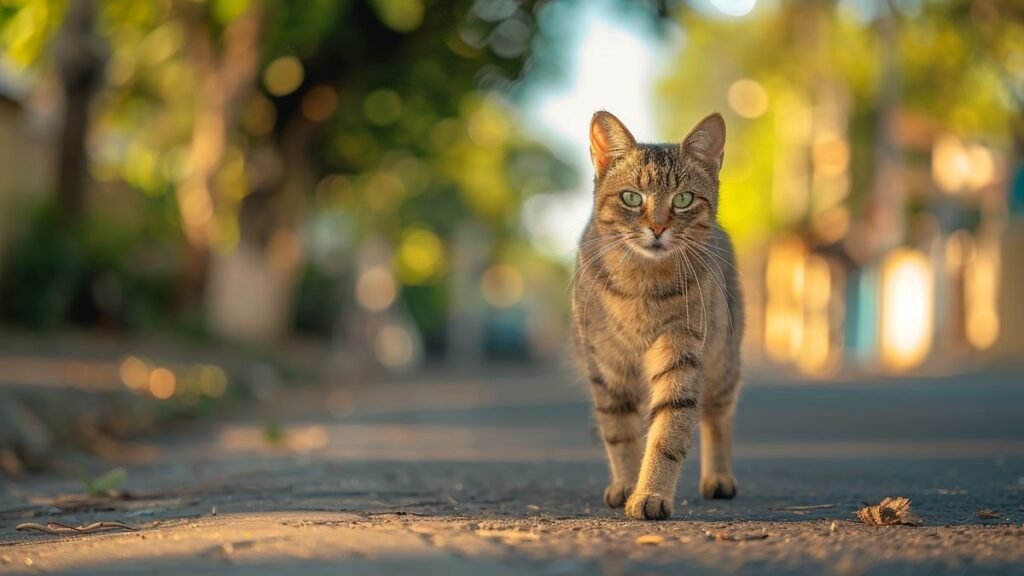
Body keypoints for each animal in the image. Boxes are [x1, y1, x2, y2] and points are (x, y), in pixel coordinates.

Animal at [569, 109, 745, 518]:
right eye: (632, 198)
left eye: (683, 199)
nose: (658, 227)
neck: (642, 285)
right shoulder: (606, 370)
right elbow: (619, 434)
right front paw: (628, 484)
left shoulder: (680, 356)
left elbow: (667, 433)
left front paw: (650, 493)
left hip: (723, 363)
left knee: (717, 417)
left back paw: (719, 477)